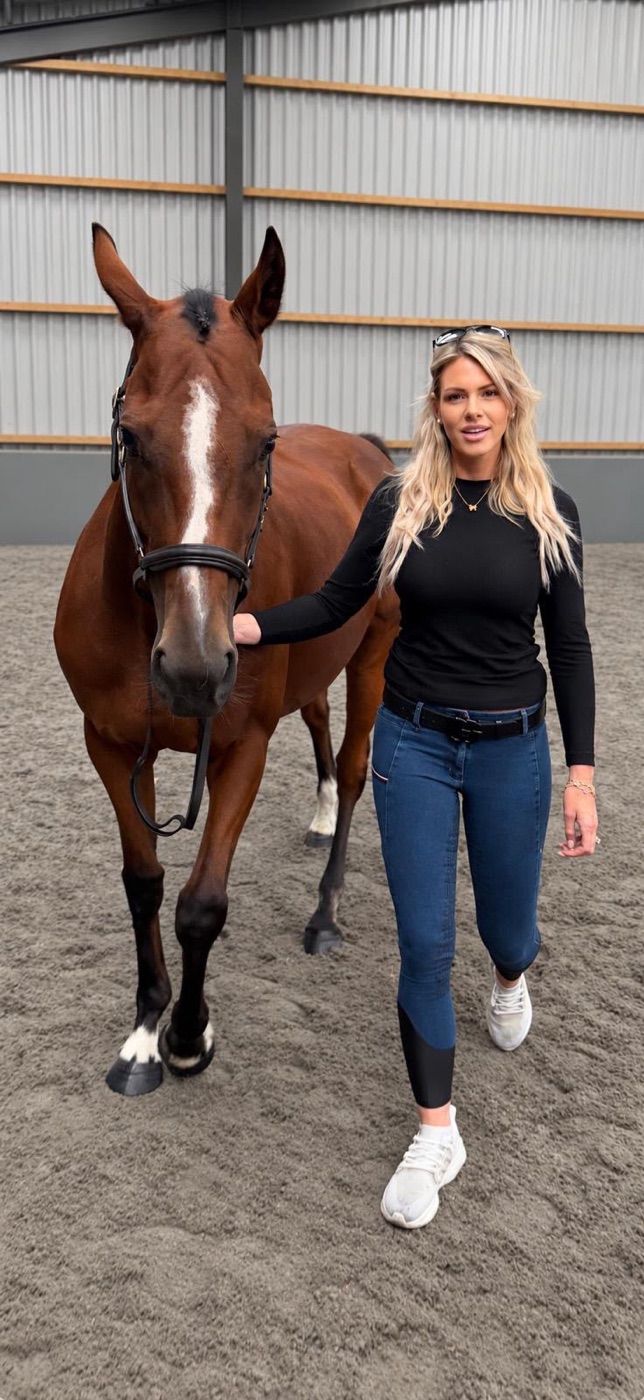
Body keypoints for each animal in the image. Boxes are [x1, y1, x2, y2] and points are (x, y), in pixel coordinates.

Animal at [54, 223, 400, 1097]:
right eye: (132, 436)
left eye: (264, 441)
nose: (194, 667)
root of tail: (367, 454)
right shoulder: (112, 745)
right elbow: (144, 884)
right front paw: (145, 1031)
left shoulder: (241, 745)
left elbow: (201, 903)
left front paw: (187, 1036)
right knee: (317, 719)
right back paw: (317, 814)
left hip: (373, 657)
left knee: (355, 769)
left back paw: (325, 911)